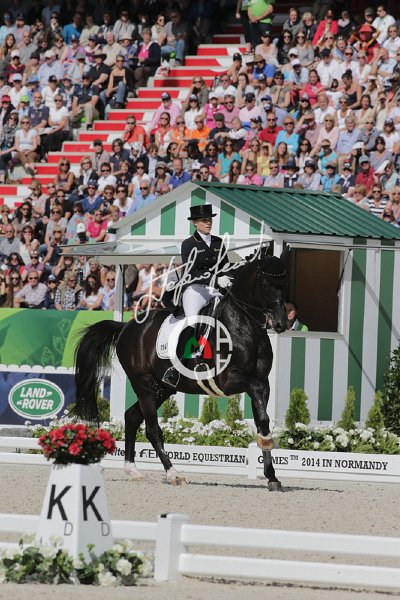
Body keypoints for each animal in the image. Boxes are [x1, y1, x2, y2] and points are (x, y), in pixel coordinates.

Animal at [74, 246, 289, 490]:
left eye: (285, 284)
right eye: (266, 283)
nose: (281, 324)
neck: (243, 325)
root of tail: (126, 326)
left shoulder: (263, 383)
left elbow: (263, 420)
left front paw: (272, 475)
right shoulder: (231, 380)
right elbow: (259, 408)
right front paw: (269, 456)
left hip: (162, 388)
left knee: (132, 417)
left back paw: (132, 469)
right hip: (143, 383)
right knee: (152, 429)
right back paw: (173, 473)